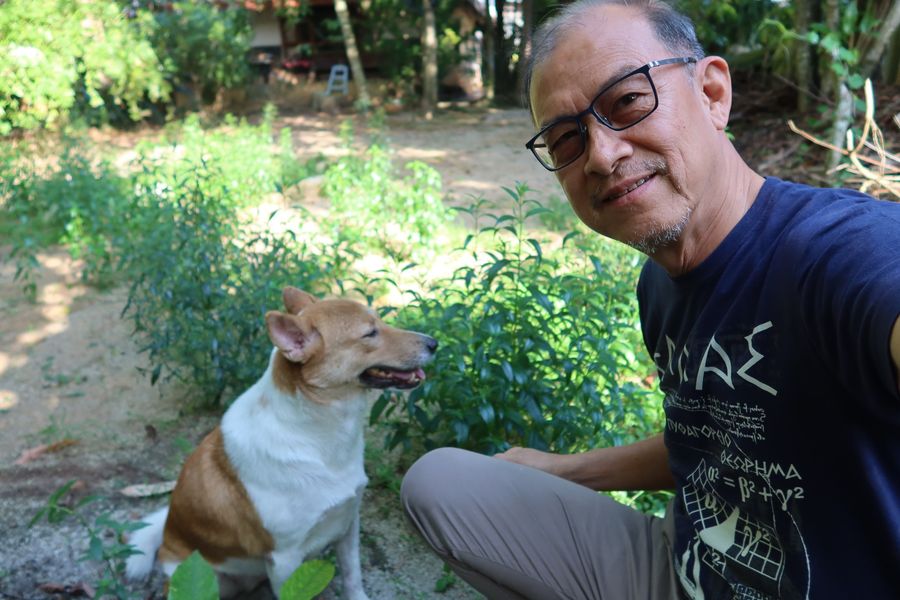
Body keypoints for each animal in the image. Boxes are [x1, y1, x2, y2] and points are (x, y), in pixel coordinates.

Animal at [125, 287, 437, 599]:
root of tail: (168, 532)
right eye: (369, 333)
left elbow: (353, 577)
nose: (434, 343)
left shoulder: (348, 522)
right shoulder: (285, 558)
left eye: (380, 321)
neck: (318, 437)